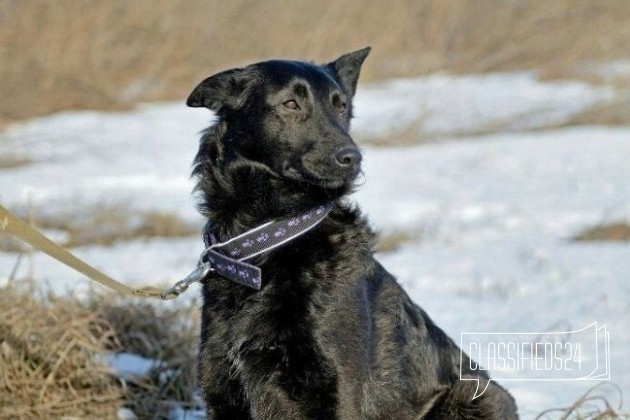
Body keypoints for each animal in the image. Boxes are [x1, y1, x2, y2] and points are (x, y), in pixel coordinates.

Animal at [186, 48, 520, 420]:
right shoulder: (222, 389)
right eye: (290, 104)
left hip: (476, 397)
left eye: (341, 106)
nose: (352, 157)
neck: (269, 239)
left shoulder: (340, 391)